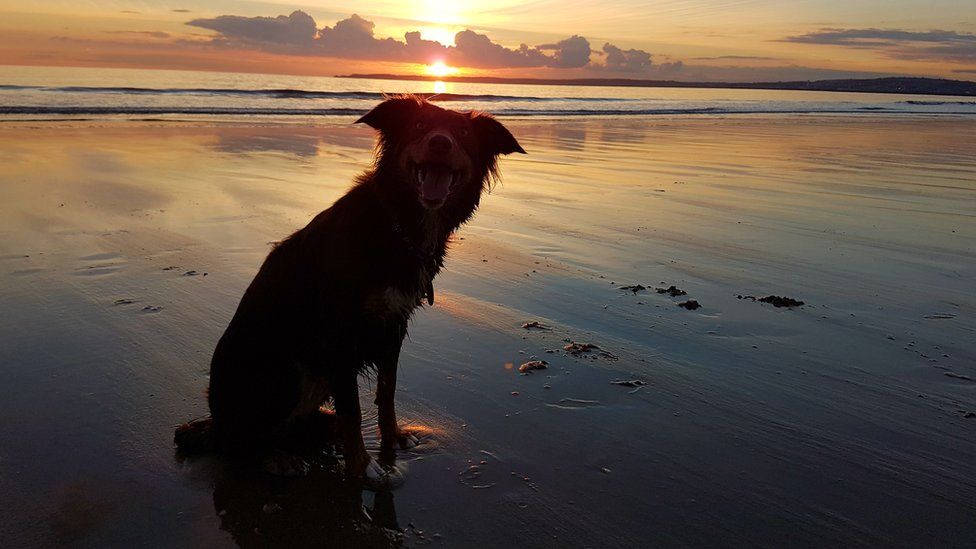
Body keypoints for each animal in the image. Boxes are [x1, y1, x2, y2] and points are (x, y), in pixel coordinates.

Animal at [175, 95, 528, 480]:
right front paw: (361, 465)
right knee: (238, 442)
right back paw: (276, 456)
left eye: (463, 133)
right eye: (419, 125)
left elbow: (386, 392)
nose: (440, 143)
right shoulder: (340, 334)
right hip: (284, 371)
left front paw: (392, 438)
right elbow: (353, 410)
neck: (399, 223)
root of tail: (217, 420)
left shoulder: (393, 324)